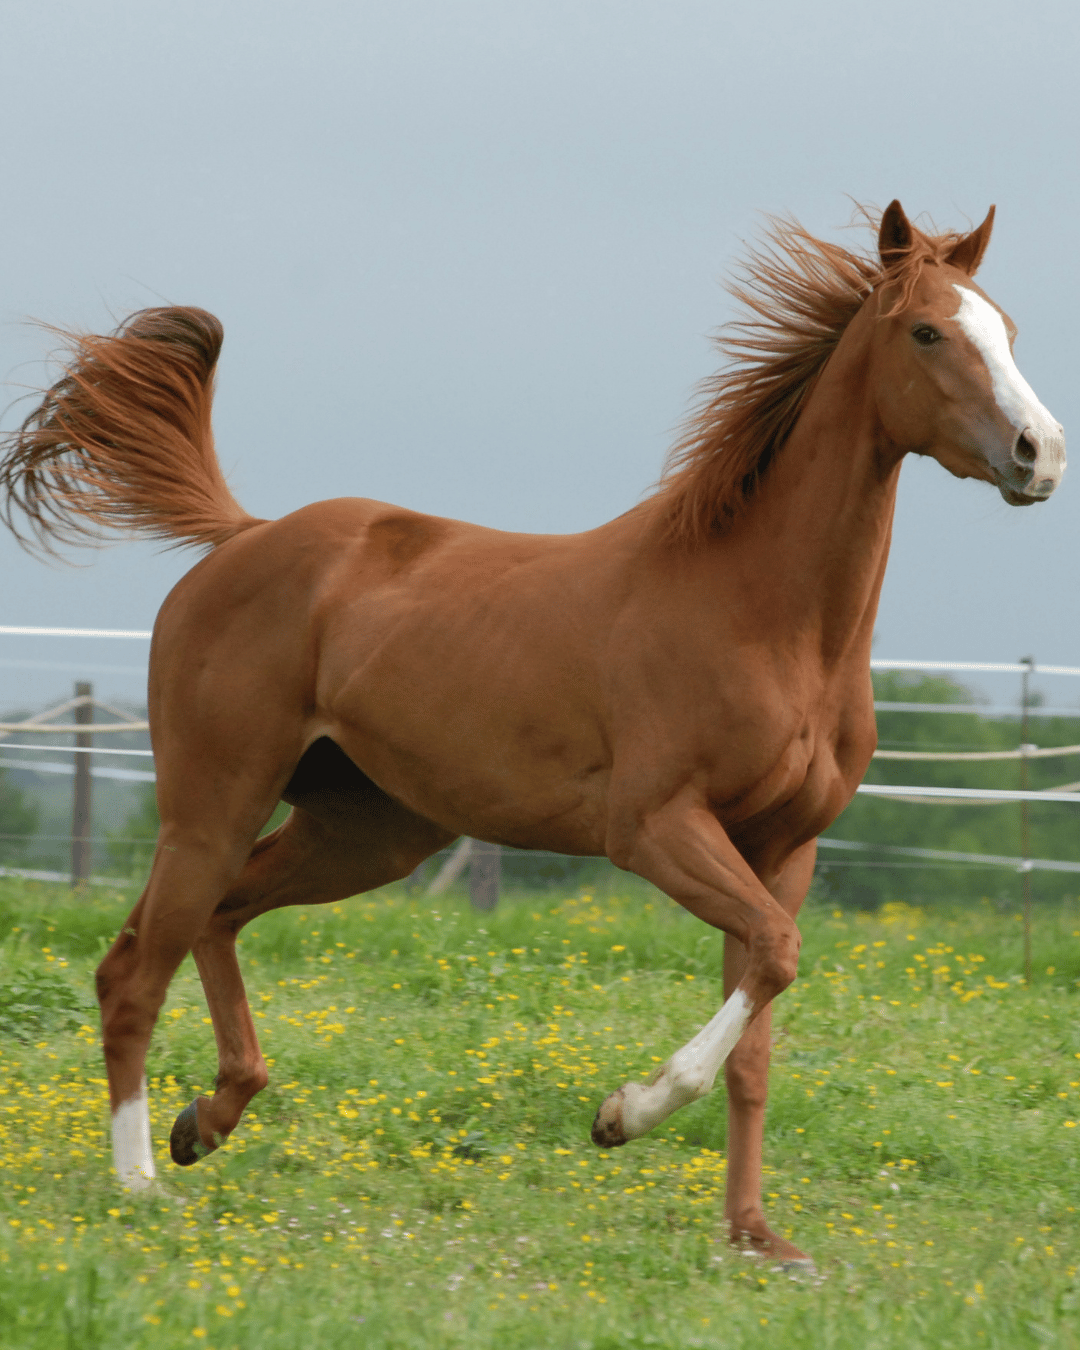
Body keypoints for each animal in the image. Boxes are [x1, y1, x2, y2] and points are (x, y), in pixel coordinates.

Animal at [0, 200, 1064, 1270]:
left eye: (1008, 329)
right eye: (927, 332)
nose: (1040, 452)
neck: (764, 617)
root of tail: (243, 535)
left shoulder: (783, 848)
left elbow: (760, 1031)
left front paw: (758, 1238)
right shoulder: (654, 828)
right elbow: (773, 956)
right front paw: (622, 1114)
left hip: (366, 831)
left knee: (213, 922)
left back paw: (205, 1123)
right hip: (214, 805)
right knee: (135, 972)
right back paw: (138, 1182)